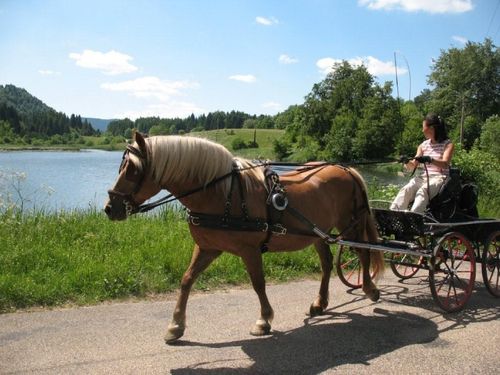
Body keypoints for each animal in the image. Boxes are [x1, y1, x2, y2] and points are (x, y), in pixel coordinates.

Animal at [104, 131, 382, 344]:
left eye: (132, 169)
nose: (109, 208)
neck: (222, 194)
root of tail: (347, 169)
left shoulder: (250, 250)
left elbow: (258, 283)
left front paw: (264, 320)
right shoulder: (207, 248)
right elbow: (186, 280)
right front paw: (175, 325)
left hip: (349, 225)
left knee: (363, 252)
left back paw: (370, 289)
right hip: (319, 234)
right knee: (326, 264)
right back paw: (320, 303)